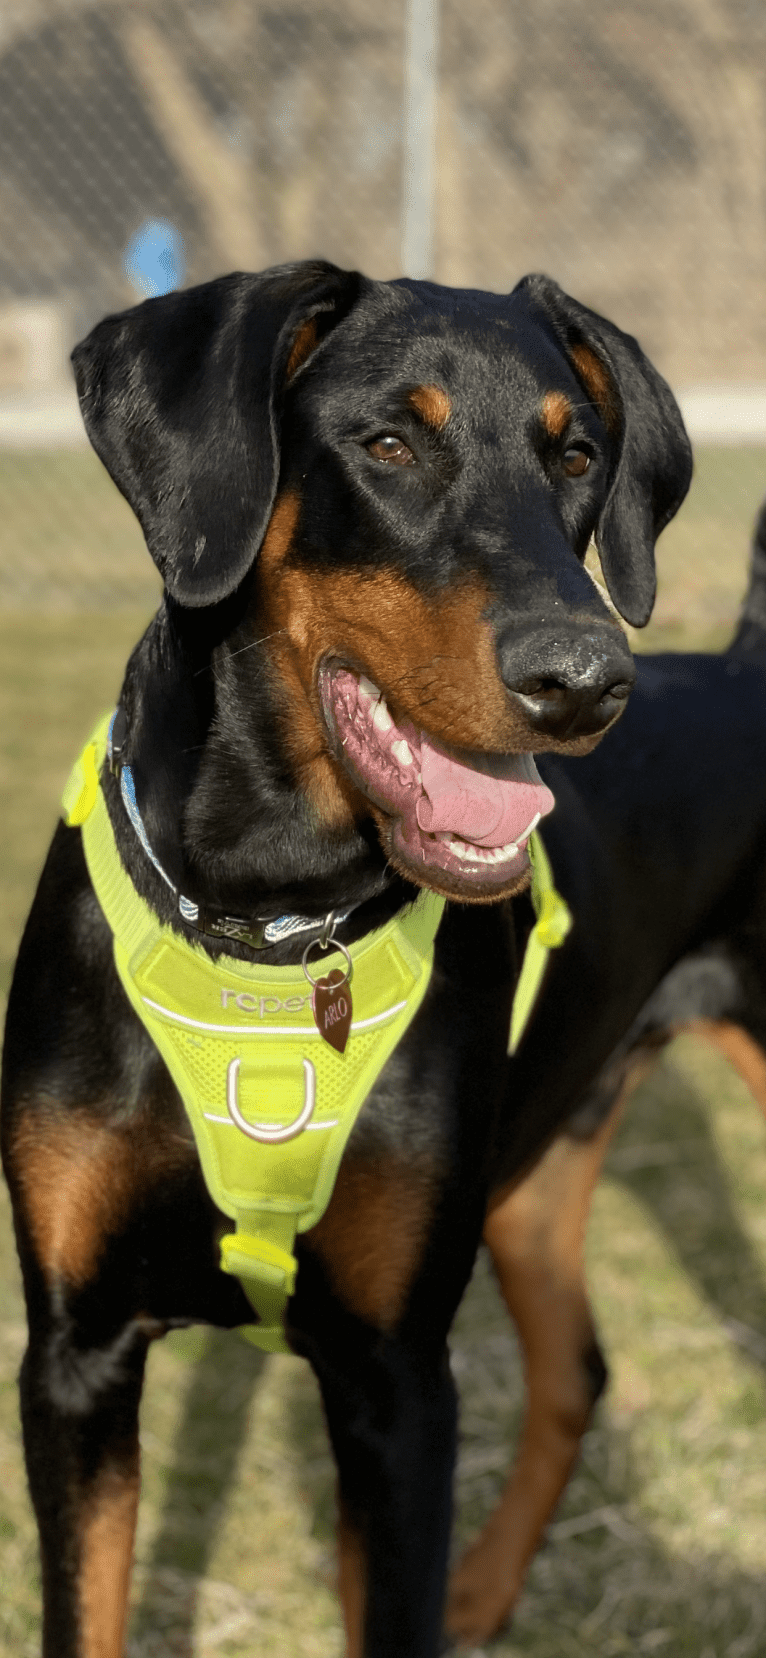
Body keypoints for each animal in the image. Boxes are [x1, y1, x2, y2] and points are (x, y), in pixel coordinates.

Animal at [1, 261, 693, 1658]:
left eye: (576, 454)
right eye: (386, 444)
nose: (586, 681)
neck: (270, 923)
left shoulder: (396, 1376)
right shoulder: (75, 1349)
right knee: (576, 1366)